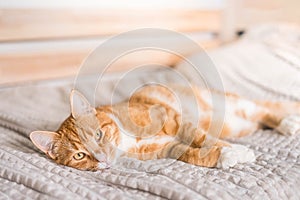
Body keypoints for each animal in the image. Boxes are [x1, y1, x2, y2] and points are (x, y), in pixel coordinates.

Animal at [28, 85, 300, 171]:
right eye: (79, 155)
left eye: (98, 134)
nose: (102, 157)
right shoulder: (166, 149)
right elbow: (192, 154)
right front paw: (224, 156)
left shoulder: (174, 120)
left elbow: (202, 137)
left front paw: (236, 152)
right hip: (237, 125)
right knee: (260, 117)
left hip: (234, 107)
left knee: (264, 110)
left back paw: (287, 123)